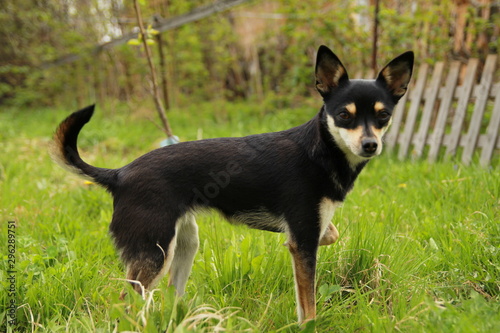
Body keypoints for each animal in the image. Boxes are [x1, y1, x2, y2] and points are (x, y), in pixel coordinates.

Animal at [52, 45, 412, 322]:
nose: (370, 145)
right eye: (344, 115)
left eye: (383, 115)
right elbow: (308, 306)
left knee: (169, 295)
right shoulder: (303, 242)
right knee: (126, 304)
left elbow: (331, 234)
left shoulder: (304, 233)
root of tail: (120, 173)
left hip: (184, 245)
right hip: (155, 253)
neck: (320, 150)